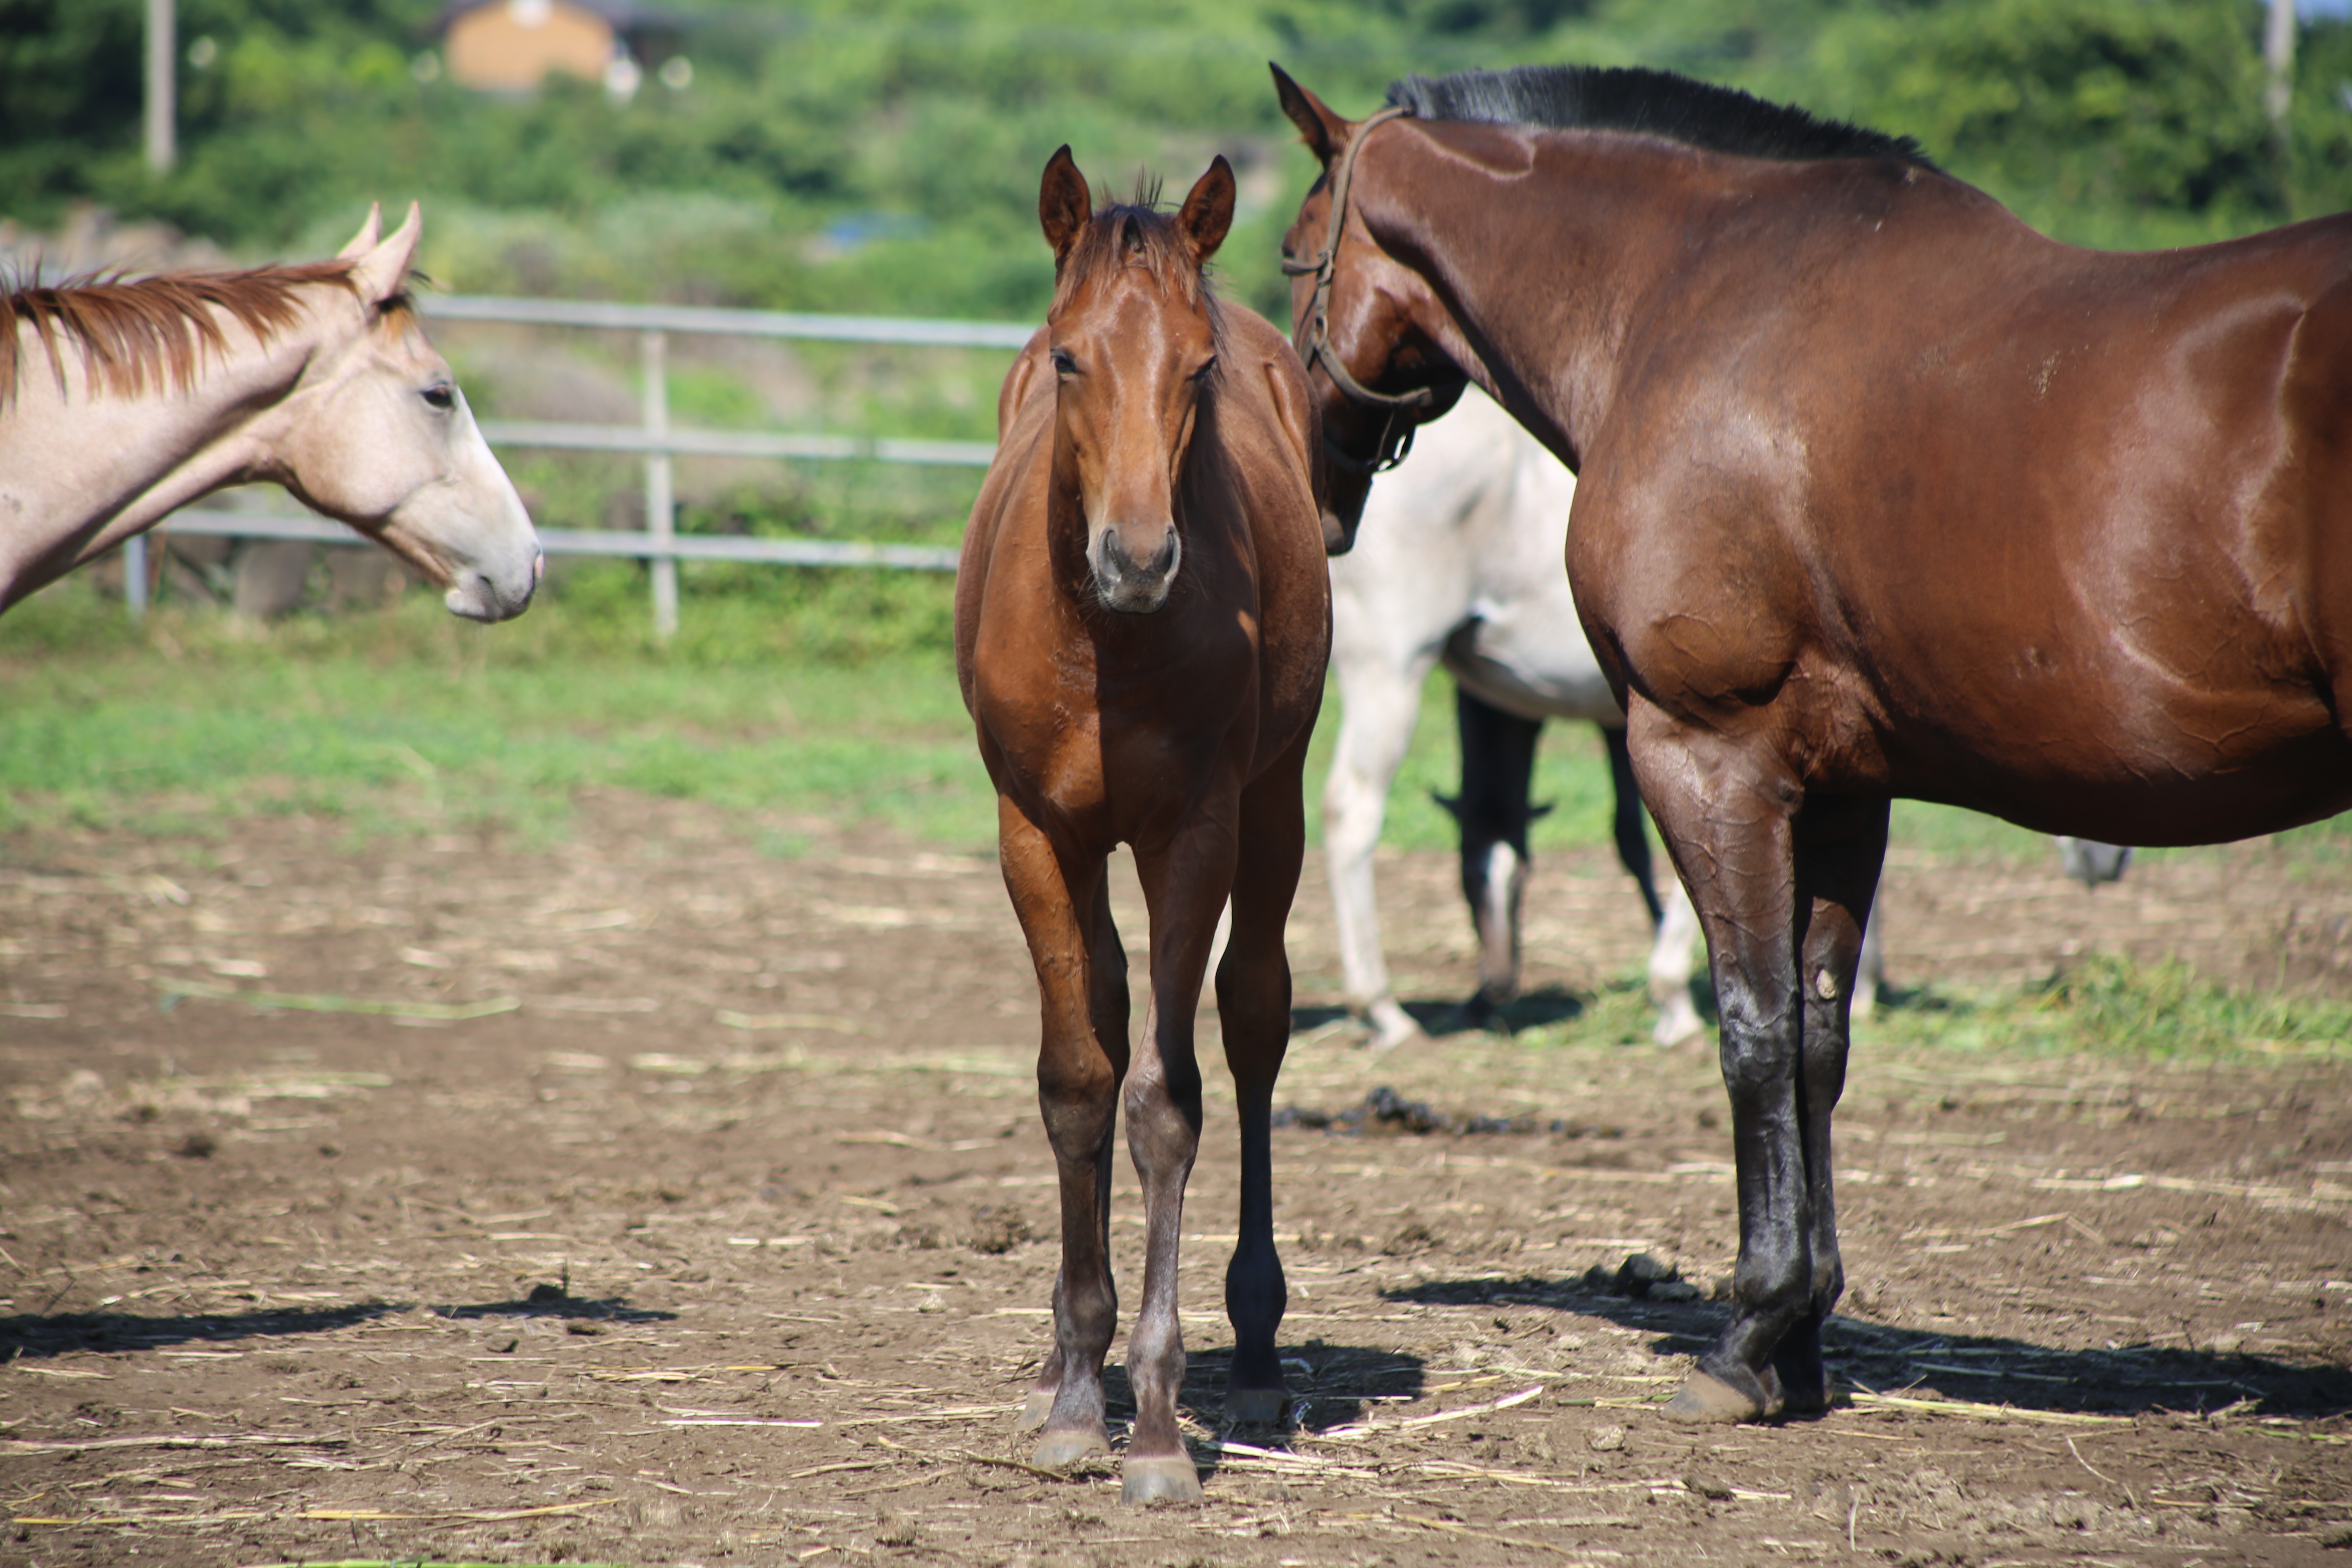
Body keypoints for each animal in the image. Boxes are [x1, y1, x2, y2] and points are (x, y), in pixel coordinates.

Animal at [950, 150, 1326, 1504]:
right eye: (1071, 359)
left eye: (1198, 369)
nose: (1138, 556)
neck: (1102, 643)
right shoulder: (1032, 831)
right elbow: (1079, 1080)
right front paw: (1073, 1398)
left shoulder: (1194, 833)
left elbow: (1169, 1098)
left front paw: (1158, 1430)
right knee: (1108, 1018)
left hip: (1277, 804)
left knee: (1256, 1020)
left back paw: (1256, 1349)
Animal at [1279, 67, 2352, 1429]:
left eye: (1293, 256)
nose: (1313, 492)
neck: (1688, 296)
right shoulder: (1844, 786)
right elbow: (1821, 1033)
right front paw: (1801, 1338)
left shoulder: (1709, 751)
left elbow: (1755, 1028)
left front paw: (1751, 1329)